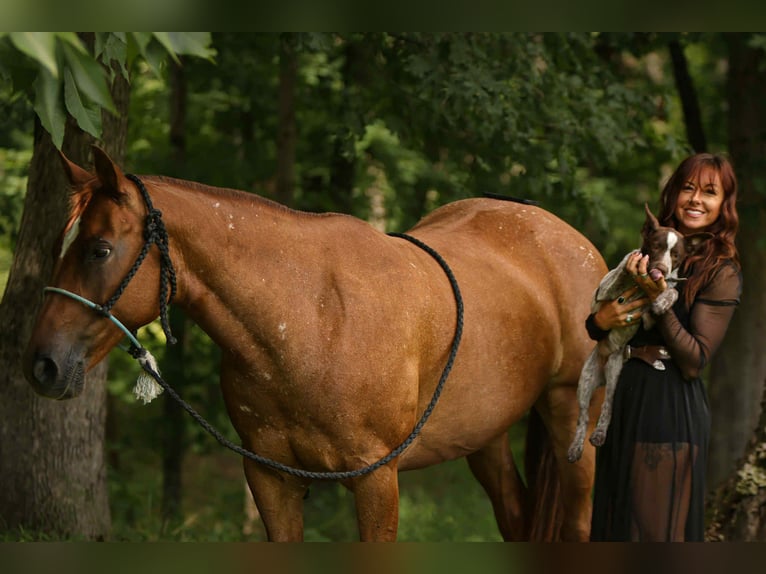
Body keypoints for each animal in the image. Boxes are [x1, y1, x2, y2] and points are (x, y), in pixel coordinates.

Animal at [22, 147, 607, 541]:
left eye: (99, 249)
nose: (42, 365)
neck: (311, 318)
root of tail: (567, 238)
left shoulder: (377, 481)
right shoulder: (270, 477)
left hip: (570, 423)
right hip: (484, 437)